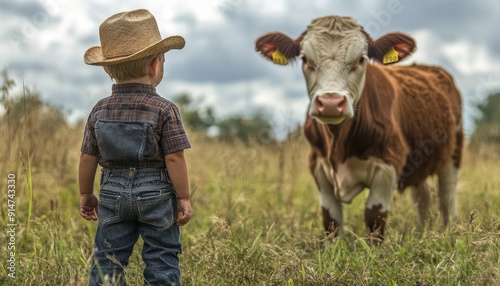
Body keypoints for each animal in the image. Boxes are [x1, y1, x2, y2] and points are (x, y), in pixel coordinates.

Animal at [256, 15, 462, 239]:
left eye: (361, 59)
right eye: (305, 59)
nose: (330, 102)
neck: (338, 144)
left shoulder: (389, 163)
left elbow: (375, 218)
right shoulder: (317, 165)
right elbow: (331, 221)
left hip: (453, 154)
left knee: (447, 198)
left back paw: (449, 234)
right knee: (422, 198)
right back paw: (421, 234)